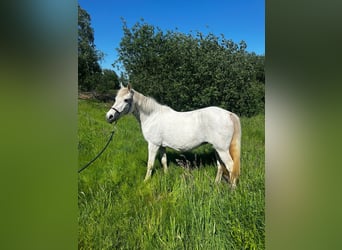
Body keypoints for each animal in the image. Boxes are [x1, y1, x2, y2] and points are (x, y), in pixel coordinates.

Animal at [105, 84, 242, 188]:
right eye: (115, 98)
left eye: (126, 100)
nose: (109, 117)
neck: (152, 116)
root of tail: (229, 114)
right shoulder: (161, 146)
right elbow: (164, 161)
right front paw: (166, 176)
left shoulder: (153, 145)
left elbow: (150, 164)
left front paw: (145, 181)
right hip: (217, 149)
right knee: (220, 166)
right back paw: (216, 184)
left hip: (222, 150)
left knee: (230, 166)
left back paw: (232, 189)